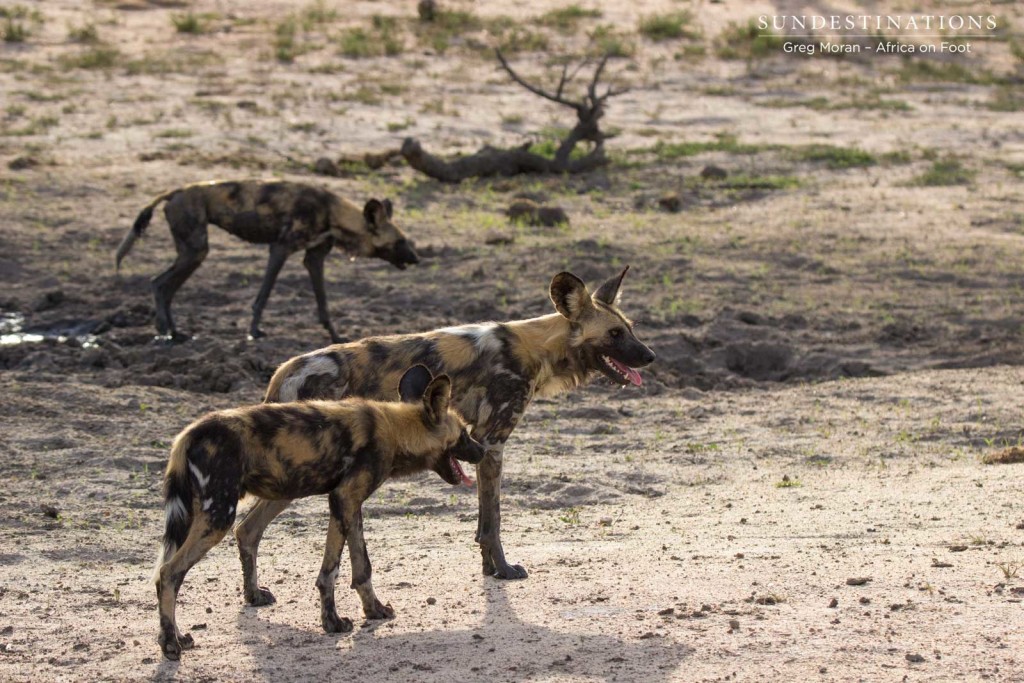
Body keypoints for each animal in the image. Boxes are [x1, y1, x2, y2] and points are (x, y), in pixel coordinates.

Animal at [117, 180, 421, 342]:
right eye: (400, 242)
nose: (417, 259)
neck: (333, 214)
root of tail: (176, 190)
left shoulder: (314, 259)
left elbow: (323, 304)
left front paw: (335, 337)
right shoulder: (280, 249)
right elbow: (263, 296)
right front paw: (254, 331)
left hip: (193, 254)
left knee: (165, 287)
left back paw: (176, 332)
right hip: (195, 251)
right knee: (158, 283)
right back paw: (163, 332)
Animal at [154, 366, 483, 659]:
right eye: (464, 435)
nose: (483, 450)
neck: (395, 429)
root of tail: (187, 434)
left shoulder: (348, 504)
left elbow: (359, 567)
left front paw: (373, 610)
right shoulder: (344, 498)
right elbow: (333, 570)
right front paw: (333, 622)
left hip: (273, 495)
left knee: (243, 533)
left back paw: (237, 604)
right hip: (220, 514)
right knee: (168, 573)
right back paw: (171, 644)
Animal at [228, 264, 651, 602]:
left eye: (630, 330)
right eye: (615, 334)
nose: (651, 356)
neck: (536, 348)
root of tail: (285, 370)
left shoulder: (480, 444)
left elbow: (484, 523)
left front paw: (488, 569)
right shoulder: (492, 443)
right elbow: (493, 522)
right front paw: (503, 569)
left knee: (246, 530)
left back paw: (253, 596)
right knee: (248, 527)